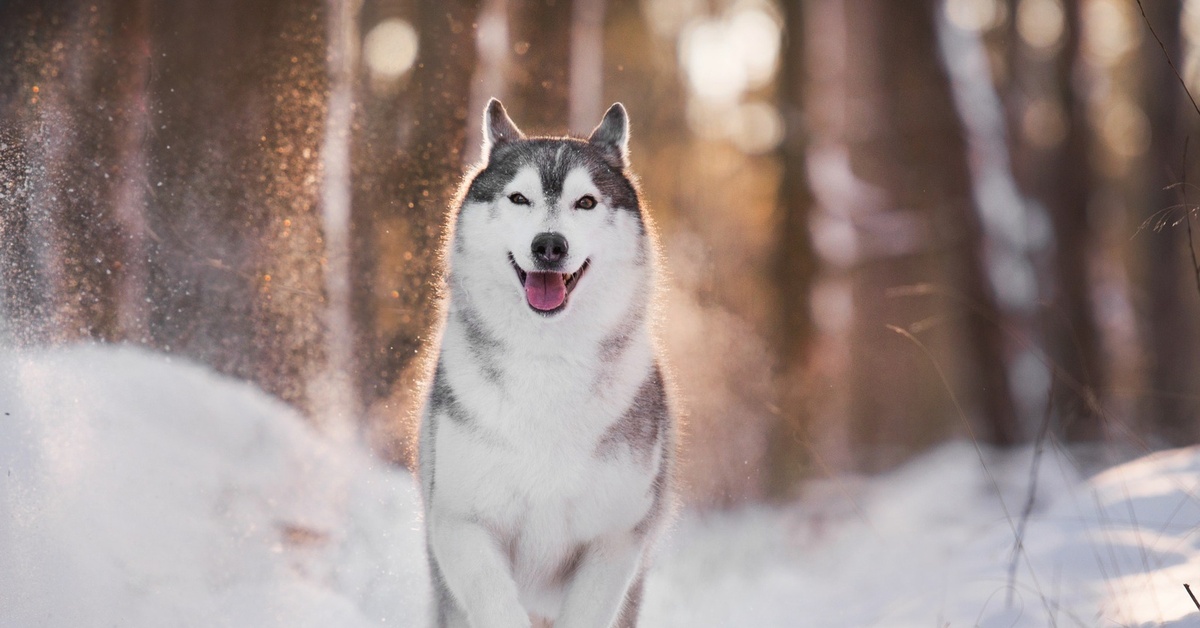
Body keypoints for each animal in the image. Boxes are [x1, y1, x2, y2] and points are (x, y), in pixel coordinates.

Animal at [417, 99, 672, 628]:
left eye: (586, 203)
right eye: (519, 198)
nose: (549, 245)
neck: (547, 361)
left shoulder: (615, 538)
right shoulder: (460, 522)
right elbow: (495, 602)